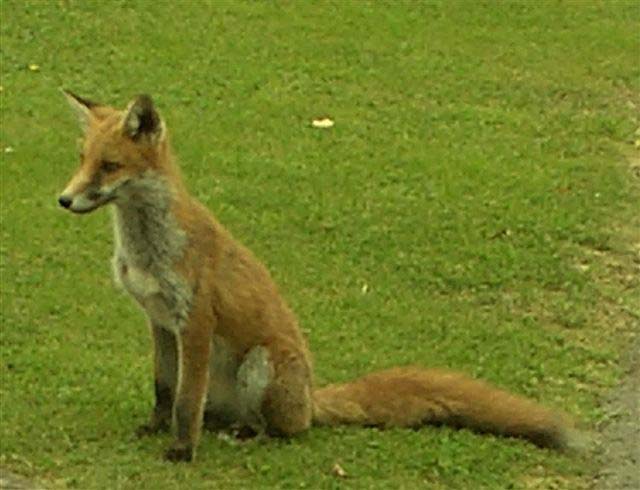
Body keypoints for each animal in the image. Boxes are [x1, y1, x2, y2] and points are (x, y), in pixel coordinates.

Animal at [58, 93, 580, 464]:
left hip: (262, 364)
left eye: (109, 166)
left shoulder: (196, 324)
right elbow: (164, 388)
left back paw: (251, 436)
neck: (147, 248)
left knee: (287, 430)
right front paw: (154, 427)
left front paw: (181, 451)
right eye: (81, 159)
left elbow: (186, 401)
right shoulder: (159, 321)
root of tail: (312, 399)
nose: (63, 200)